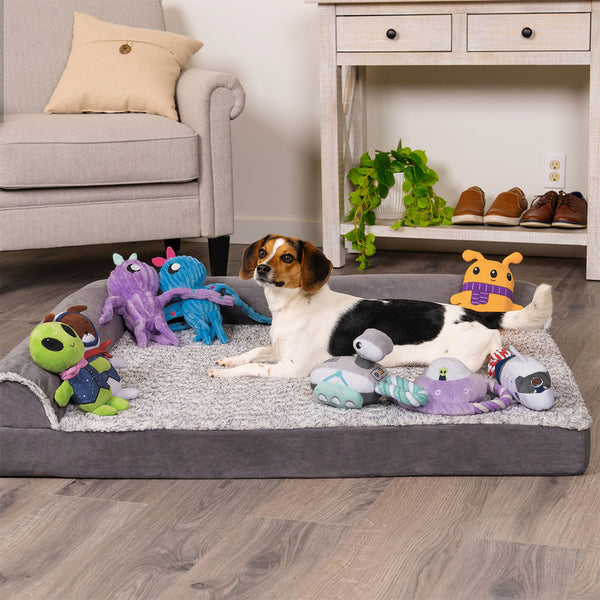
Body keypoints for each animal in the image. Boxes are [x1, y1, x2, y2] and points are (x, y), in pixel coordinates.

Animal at [209, 237, 552, 378]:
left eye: (288, 257)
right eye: (262, 252)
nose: (261, 269)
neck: (295, 303)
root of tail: (480, 315)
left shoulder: (291, 366)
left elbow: (254, 367)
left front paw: (224, 374)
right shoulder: (278, 350)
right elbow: (254, 352)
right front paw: (228, 361)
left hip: (458, 360)